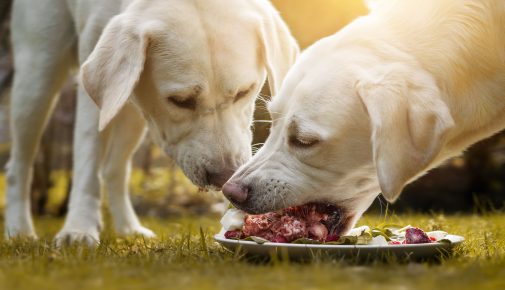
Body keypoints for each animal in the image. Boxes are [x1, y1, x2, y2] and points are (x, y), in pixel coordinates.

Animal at [5, 0, 298, 245]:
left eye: (243, 92)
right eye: (180, 101)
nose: (224, 176)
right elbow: (88, 158)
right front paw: (79, 229)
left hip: (130, 107)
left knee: (114, 168)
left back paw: (128, 228)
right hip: (38, 74)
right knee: (19, 163)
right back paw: (19, 229)